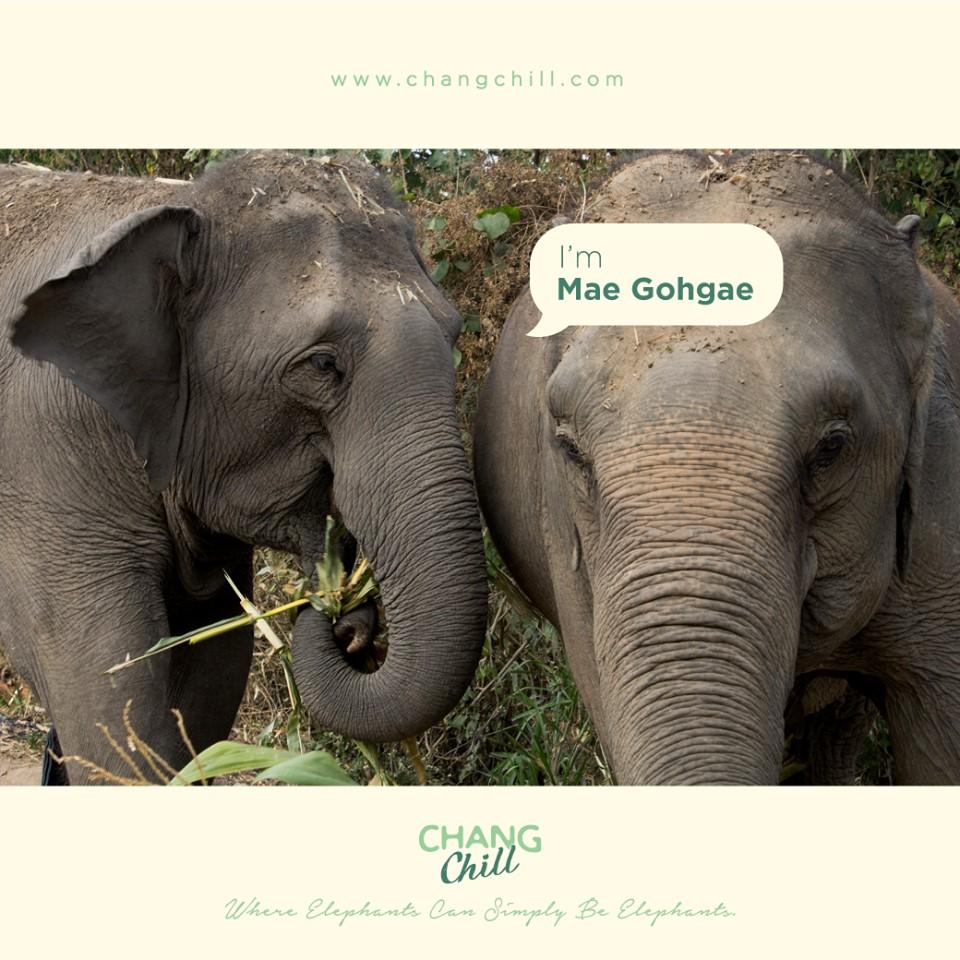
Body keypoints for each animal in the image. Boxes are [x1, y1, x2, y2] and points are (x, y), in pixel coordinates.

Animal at [0, 152, 488, 784]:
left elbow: (210, 681)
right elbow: (113, 701)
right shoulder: (47, 464)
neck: (178, 206)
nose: (350, 622)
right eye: (322, 364)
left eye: (453, 332)